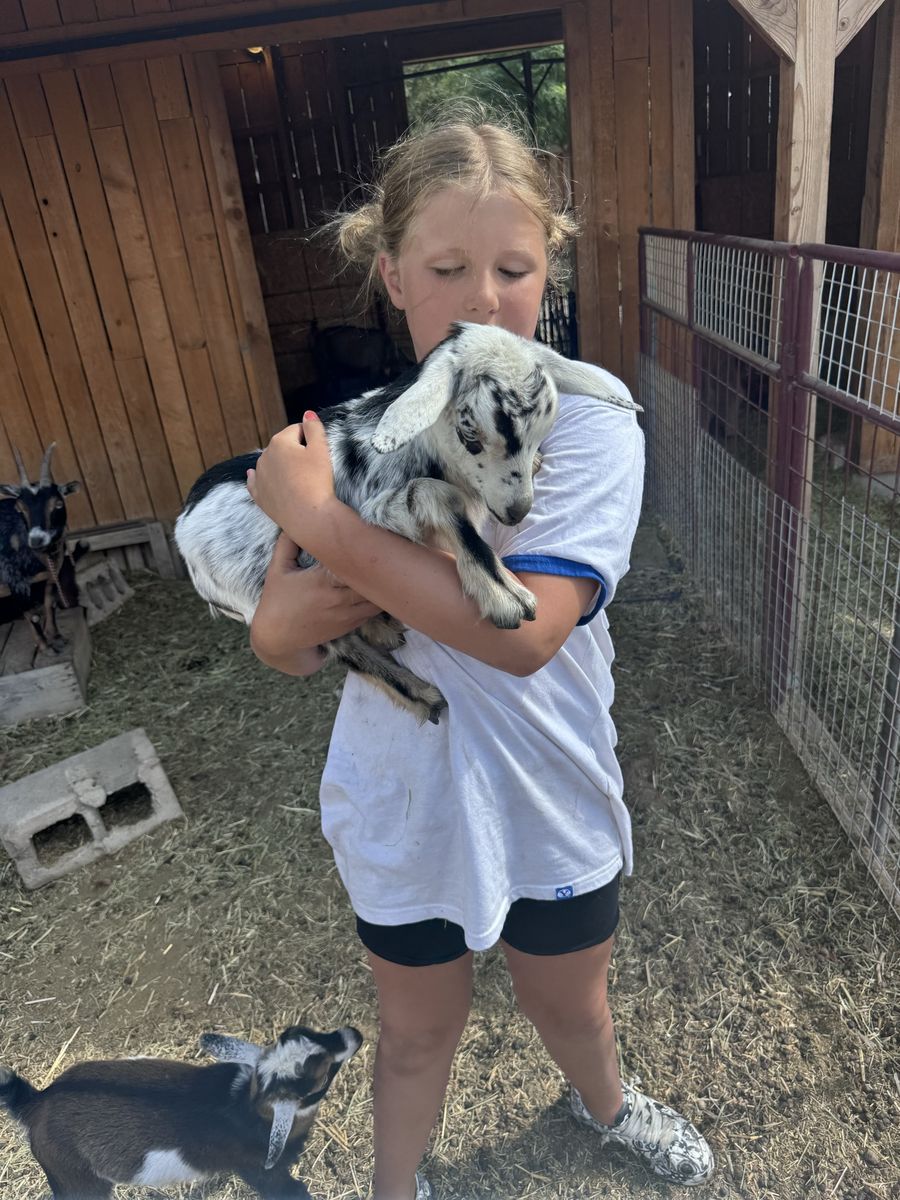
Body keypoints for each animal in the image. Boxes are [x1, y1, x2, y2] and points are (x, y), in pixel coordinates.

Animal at [0, 443, 87, 652]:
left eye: (58, 503)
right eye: (19, 508)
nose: (36, 539)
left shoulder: (52, 572)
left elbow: (50, 603)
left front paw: (56, 636)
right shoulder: (13, 578)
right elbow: (31, 614)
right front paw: (45, 647)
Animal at [0, 1022, 363, 1200]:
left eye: (304, 1030)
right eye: (319, 1079)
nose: (354, 1035)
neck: (246, 1106)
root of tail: (36, 1103)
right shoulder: (260, 1170)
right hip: (76, 1178)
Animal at [174, 322, 639, 724]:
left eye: (543, 432)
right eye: (472, 438)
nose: (516, 512)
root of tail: (182, 524)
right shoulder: (371, 513)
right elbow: (436, 495)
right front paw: (504, 593)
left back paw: (382, 627)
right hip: (257, 596)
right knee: (341, 646)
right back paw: (421, 694)